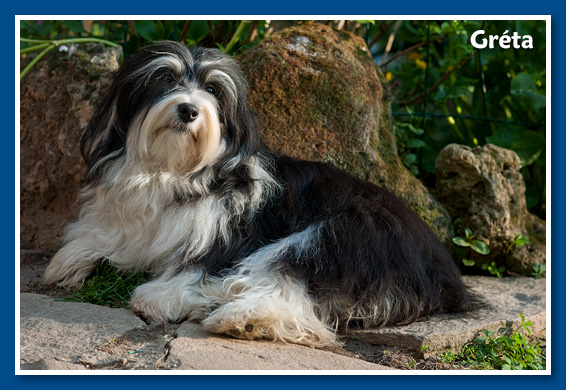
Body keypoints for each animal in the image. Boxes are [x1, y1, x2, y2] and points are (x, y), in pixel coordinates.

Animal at [43, 41, 480, 348]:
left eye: (213, 90)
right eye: (164, 78)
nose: (189, 110)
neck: (174, 170)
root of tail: (444, 271)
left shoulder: (228, 233)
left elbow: (198, 264)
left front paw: (166, 293)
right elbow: (102, 237)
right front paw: (72, 258)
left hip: (342, 232)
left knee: (291, 284)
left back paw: (240, 317)